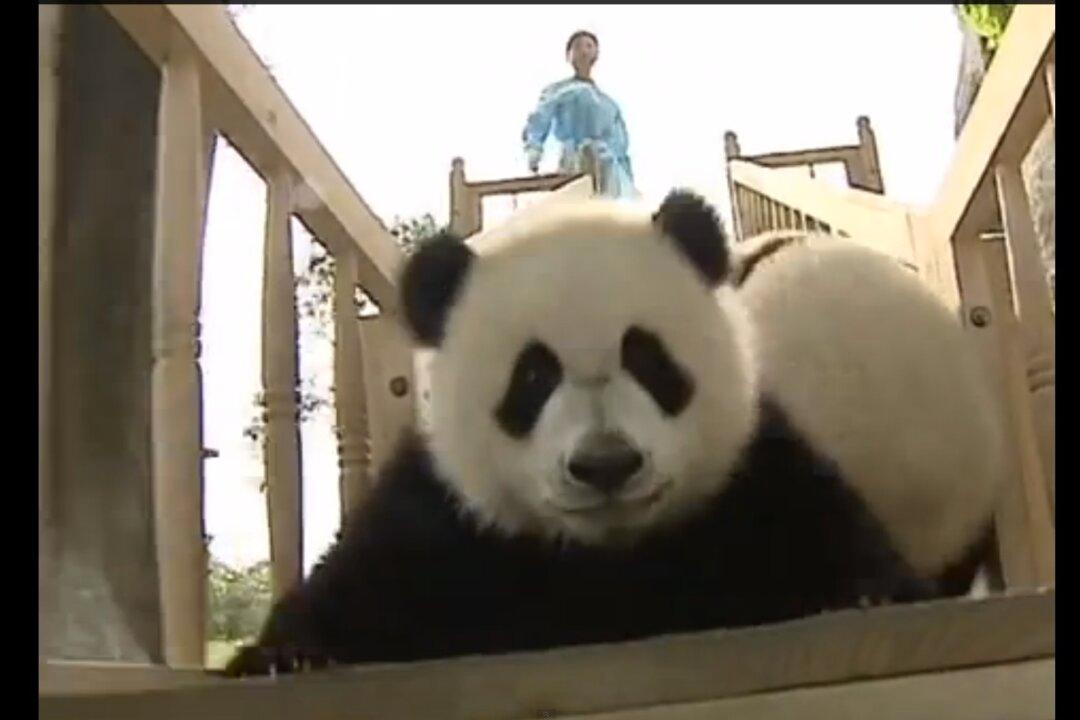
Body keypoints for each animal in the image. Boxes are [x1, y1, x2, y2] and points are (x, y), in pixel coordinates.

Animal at [225, 191, 938, 677]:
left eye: (647, 357)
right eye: (533, 375)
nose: (606, 465)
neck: (606, 558)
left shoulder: (751, 475)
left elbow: (819, 519)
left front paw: (873, 594)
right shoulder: (444, 515)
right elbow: (364, 579)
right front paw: (284, 656)